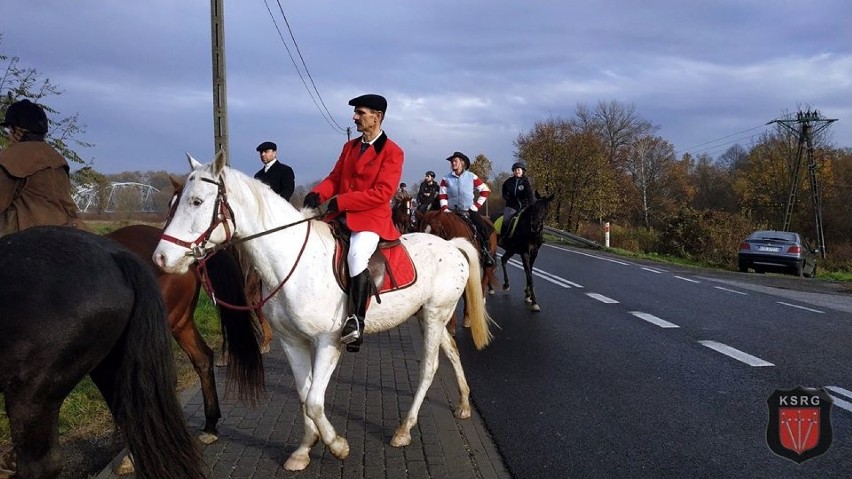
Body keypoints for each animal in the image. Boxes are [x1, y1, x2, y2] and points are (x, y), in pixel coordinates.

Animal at [153, 153, 492, 472]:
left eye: (196, 201)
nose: (161, 258)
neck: (291, 259)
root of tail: (452, 245)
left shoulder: (328, 342)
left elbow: (315, 401)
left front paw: (337, 445)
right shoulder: (292, 342)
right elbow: (305, 396)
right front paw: (304, 450)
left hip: (435, 315)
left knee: (429, 368)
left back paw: (404, 430)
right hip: (428, 316)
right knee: (452, 351)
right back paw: (464, 403)